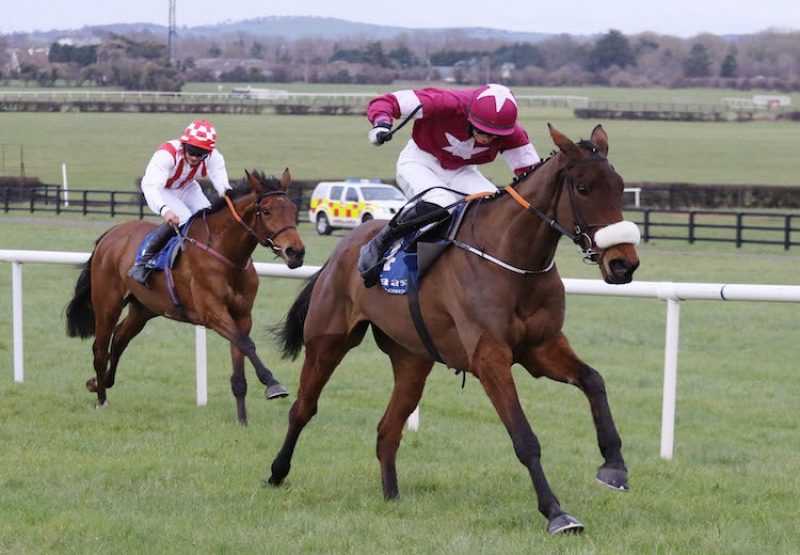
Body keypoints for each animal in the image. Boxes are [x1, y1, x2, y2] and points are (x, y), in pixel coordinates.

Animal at [63, 167, 304, 424]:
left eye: (293, 209)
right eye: (266, 211)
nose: (296, 252)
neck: (226, 254)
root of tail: (109, 235)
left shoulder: (242, 316)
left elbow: (240, 359)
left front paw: (242, 420)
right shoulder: (212, 313)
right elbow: (246, 344)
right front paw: (273, 385)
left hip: (143, 308)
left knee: (119, 339)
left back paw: (98, 383)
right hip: (107, 304)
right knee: (100, 348)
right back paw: (101, 399)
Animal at [272, 125, 640, 536]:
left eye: (619, 187)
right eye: (583, 188)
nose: (623, 263)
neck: (512, 257)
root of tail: (342, 250)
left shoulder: (541, 348)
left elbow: (594, 380)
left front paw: (614, 466)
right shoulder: (489, 357)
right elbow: (524, 437)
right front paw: (556, 513)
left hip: (412, 360)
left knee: (387, 430)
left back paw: (392, 496)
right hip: (328, 342)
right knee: (303, 408)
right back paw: (277, 472)